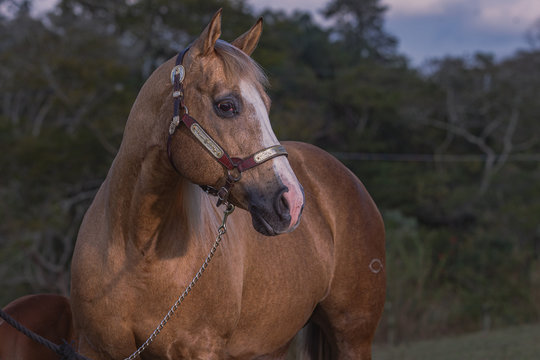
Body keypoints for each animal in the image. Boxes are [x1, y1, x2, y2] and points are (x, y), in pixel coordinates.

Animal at [69, 9, 386, 360]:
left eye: (266, 105)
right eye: (226, 105)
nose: (292, 202)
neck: (137, 252)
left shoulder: (201, 350)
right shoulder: (92, 348)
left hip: (353, 337)